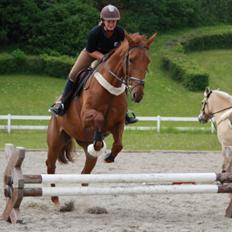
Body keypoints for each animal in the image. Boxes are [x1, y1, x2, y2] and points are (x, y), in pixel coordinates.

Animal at [46, 31, 157, 204]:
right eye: (131, 59)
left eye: (148, 61)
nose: (137, 95)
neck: (111, 88)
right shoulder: (86, 116)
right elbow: (98, 118)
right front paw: (99, 140)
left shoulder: (119, 122)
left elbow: (118, 144)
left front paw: (109, 157)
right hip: (55, 140)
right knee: (51, 166)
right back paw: (56, 200)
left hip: (82, 144)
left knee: (85, 171)